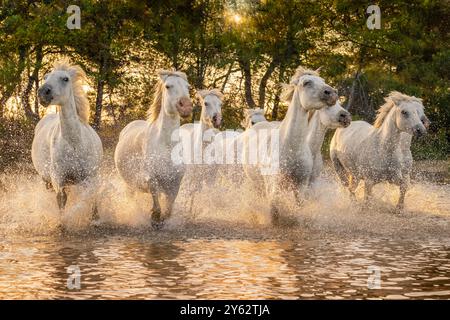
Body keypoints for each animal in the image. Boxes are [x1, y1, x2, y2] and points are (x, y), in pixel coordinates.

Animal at [31, 59, 103, 212]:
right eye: (45, 77)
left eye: (65, 79)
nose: (43, 93)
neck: (74, 143)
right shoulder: (59, 180)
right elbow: (61, 202)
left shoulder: (90, 177)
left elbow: (92, 200)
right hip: (46, 180)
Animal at [113, 70, 192, 225]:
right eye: (168, 86)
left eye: (188, 87)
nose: (185, 106)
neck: (166, 146)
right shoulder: (151, 179)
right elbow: (156, 204)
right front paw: (154, 218)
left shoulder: (175, 182)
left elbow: (168, 209)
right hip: (129, 184)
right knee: (133, 200)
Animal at [243, 66, 338, 224]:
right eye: (306, 82)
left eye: (322, 80)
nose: (332, 93)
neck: (292, 147)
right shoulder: (274, 185)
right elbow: (274, 208)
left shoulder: (301, 185)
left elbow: (298, 207)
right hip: (255, 183)